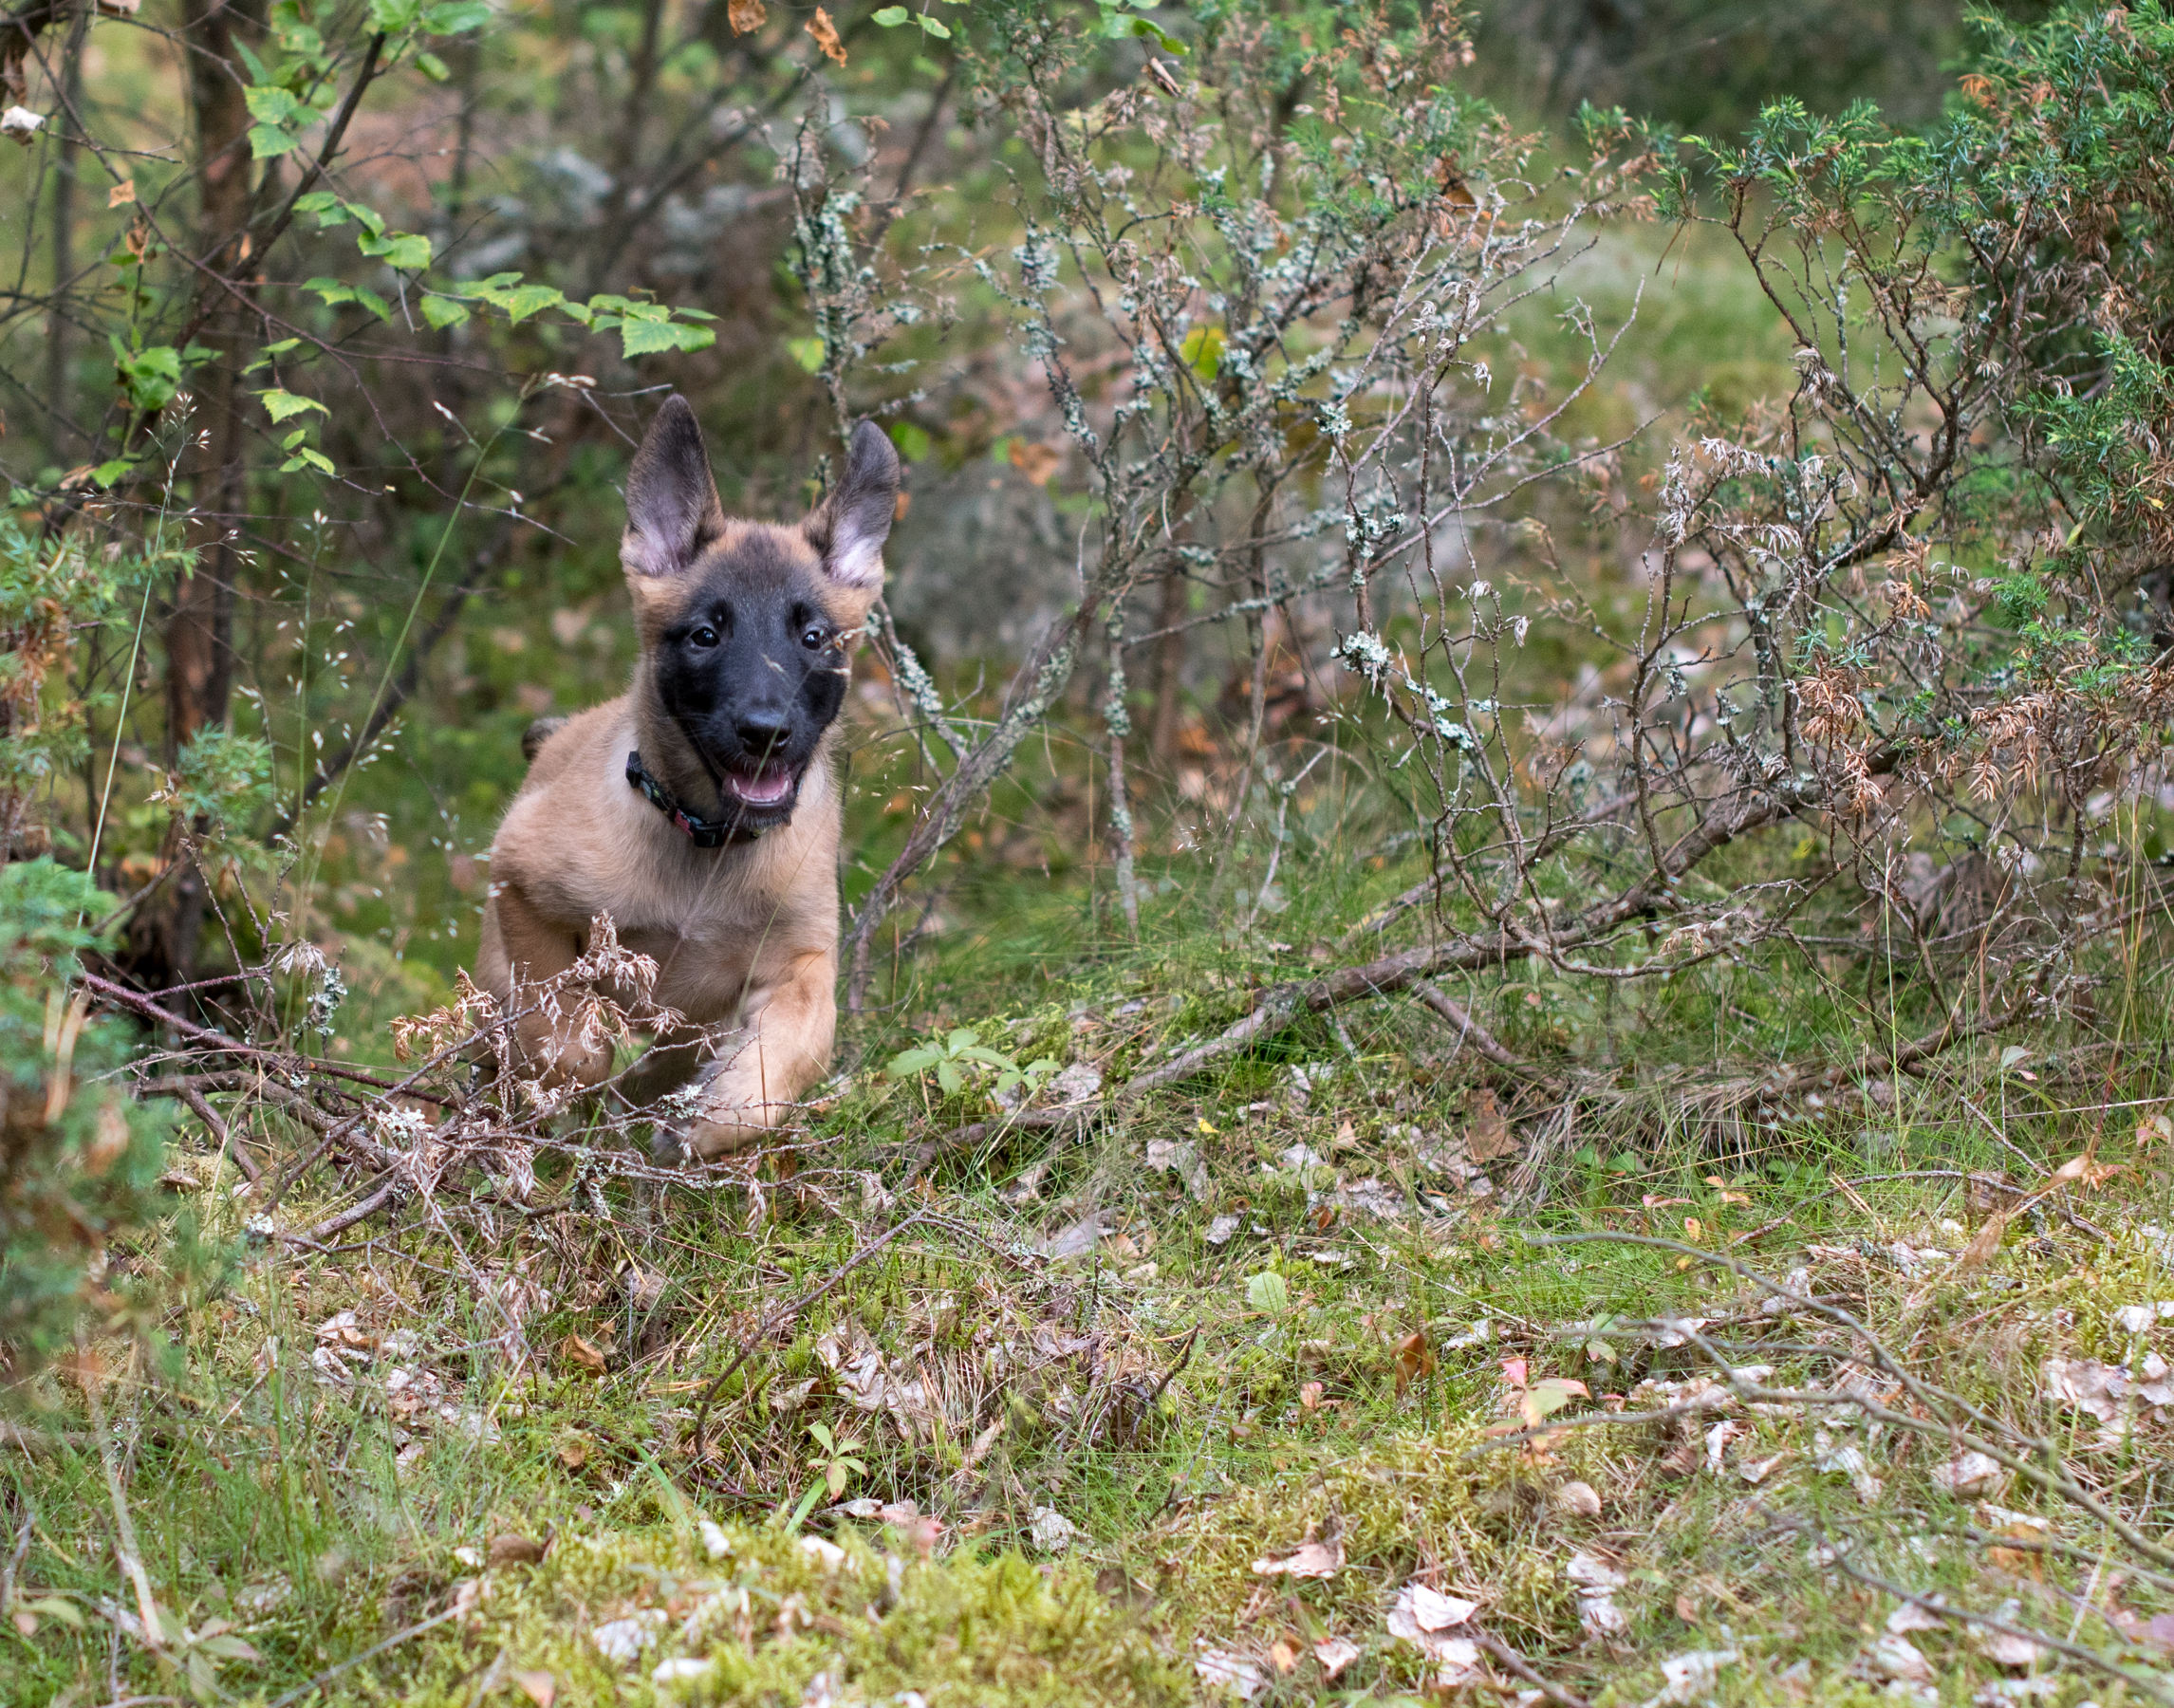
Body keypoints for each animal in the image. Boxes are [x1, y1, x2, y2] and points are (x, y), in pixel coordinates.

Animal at [482, 393, 900, 1147]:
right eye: (706, 635)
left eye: (814, 637)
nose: (766, 734)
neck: (706, 845)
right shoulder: (521, 882)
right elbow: (563, 1038)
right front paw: (577, 1072)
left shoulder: (801, 968)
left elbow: (769, 1079)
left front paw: (706, 1121)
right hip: (492, 973)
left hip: (694, 1023)